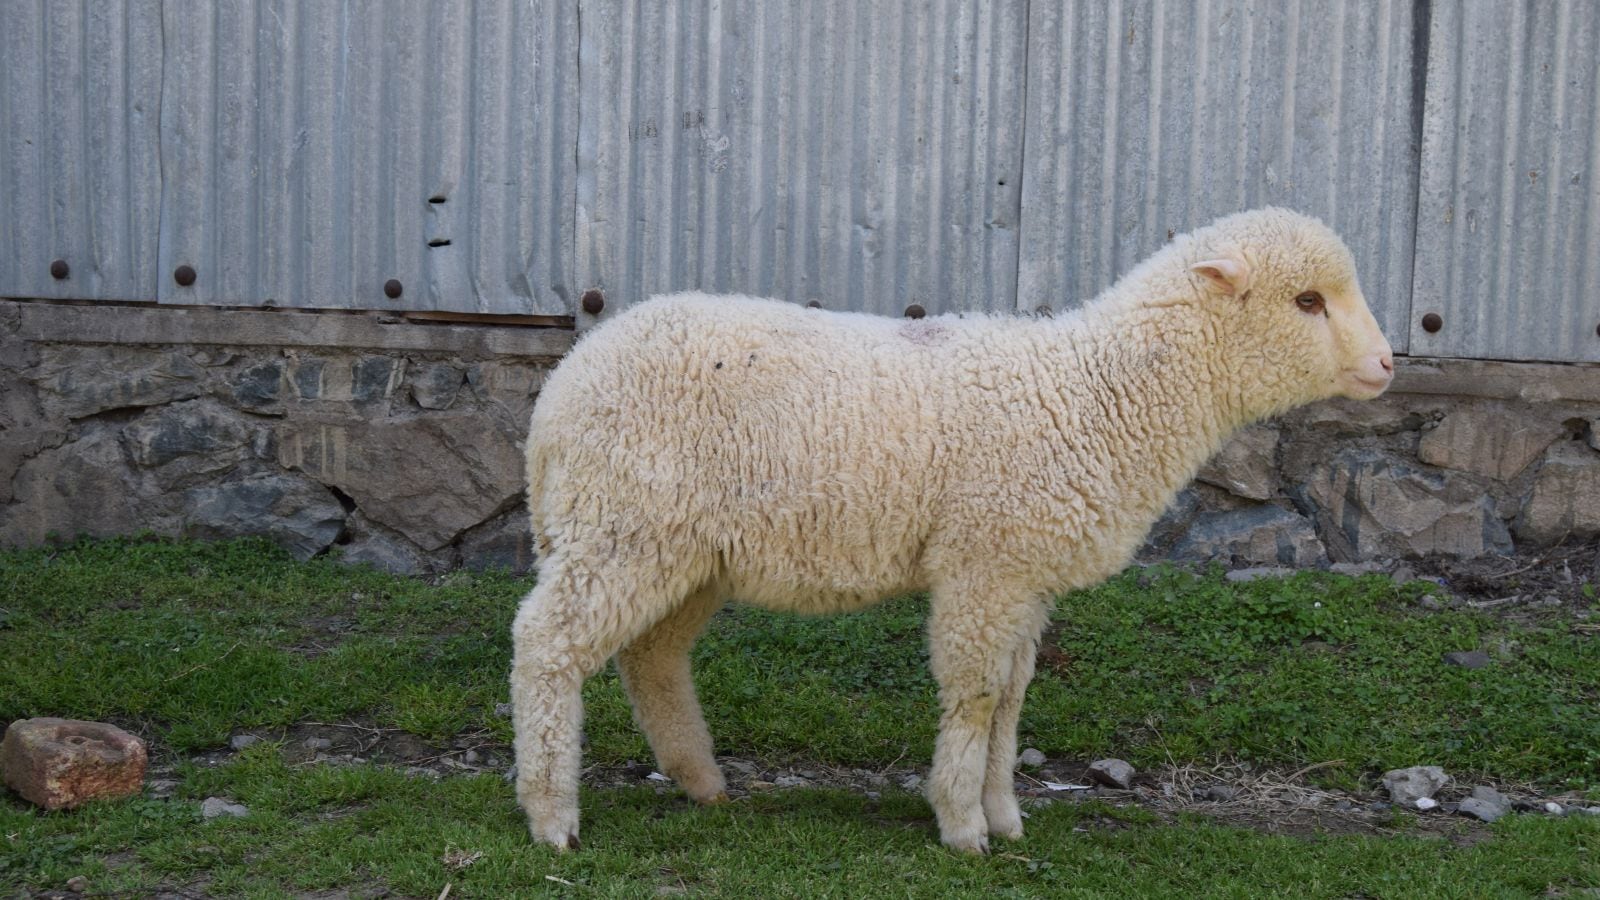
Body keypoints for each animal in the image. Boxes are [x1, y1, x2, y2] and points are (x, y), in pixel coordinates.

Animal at [510, 207, 1395, 853]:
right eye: (1307, 301)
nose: (1388, 365)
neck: (1096, 392)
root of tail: (559, 394)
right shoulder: (984, 565)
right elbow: (975, 695)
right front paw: (963, 826)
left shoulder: (1025, 576)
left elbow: (1010, 698)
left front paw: (1004, 813)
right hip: (623, 526)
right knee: (547, 643)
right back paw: (551, 816)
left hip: (685, 549)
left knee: (651, 655)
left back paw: (700, 780)